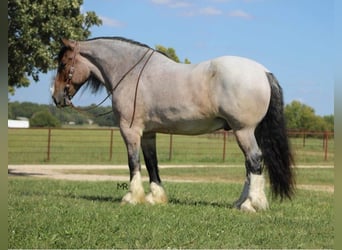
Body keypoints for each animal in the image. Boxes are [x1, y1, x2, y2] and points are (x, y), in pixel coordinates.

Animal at [52, 36, 296, 211]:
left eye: (63, 64)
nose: (56, 97)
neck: (130, 72)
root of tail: (263, 72)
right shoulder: (148, 133)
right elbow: (152, 163)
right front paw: (155, 197)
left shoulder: (130, 131)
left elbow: (133, 163)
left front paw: (132, 197)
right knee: (249, 165)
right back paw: (240, 203)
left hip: (243, 131)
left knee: (254, 160)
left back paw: (251, 204)